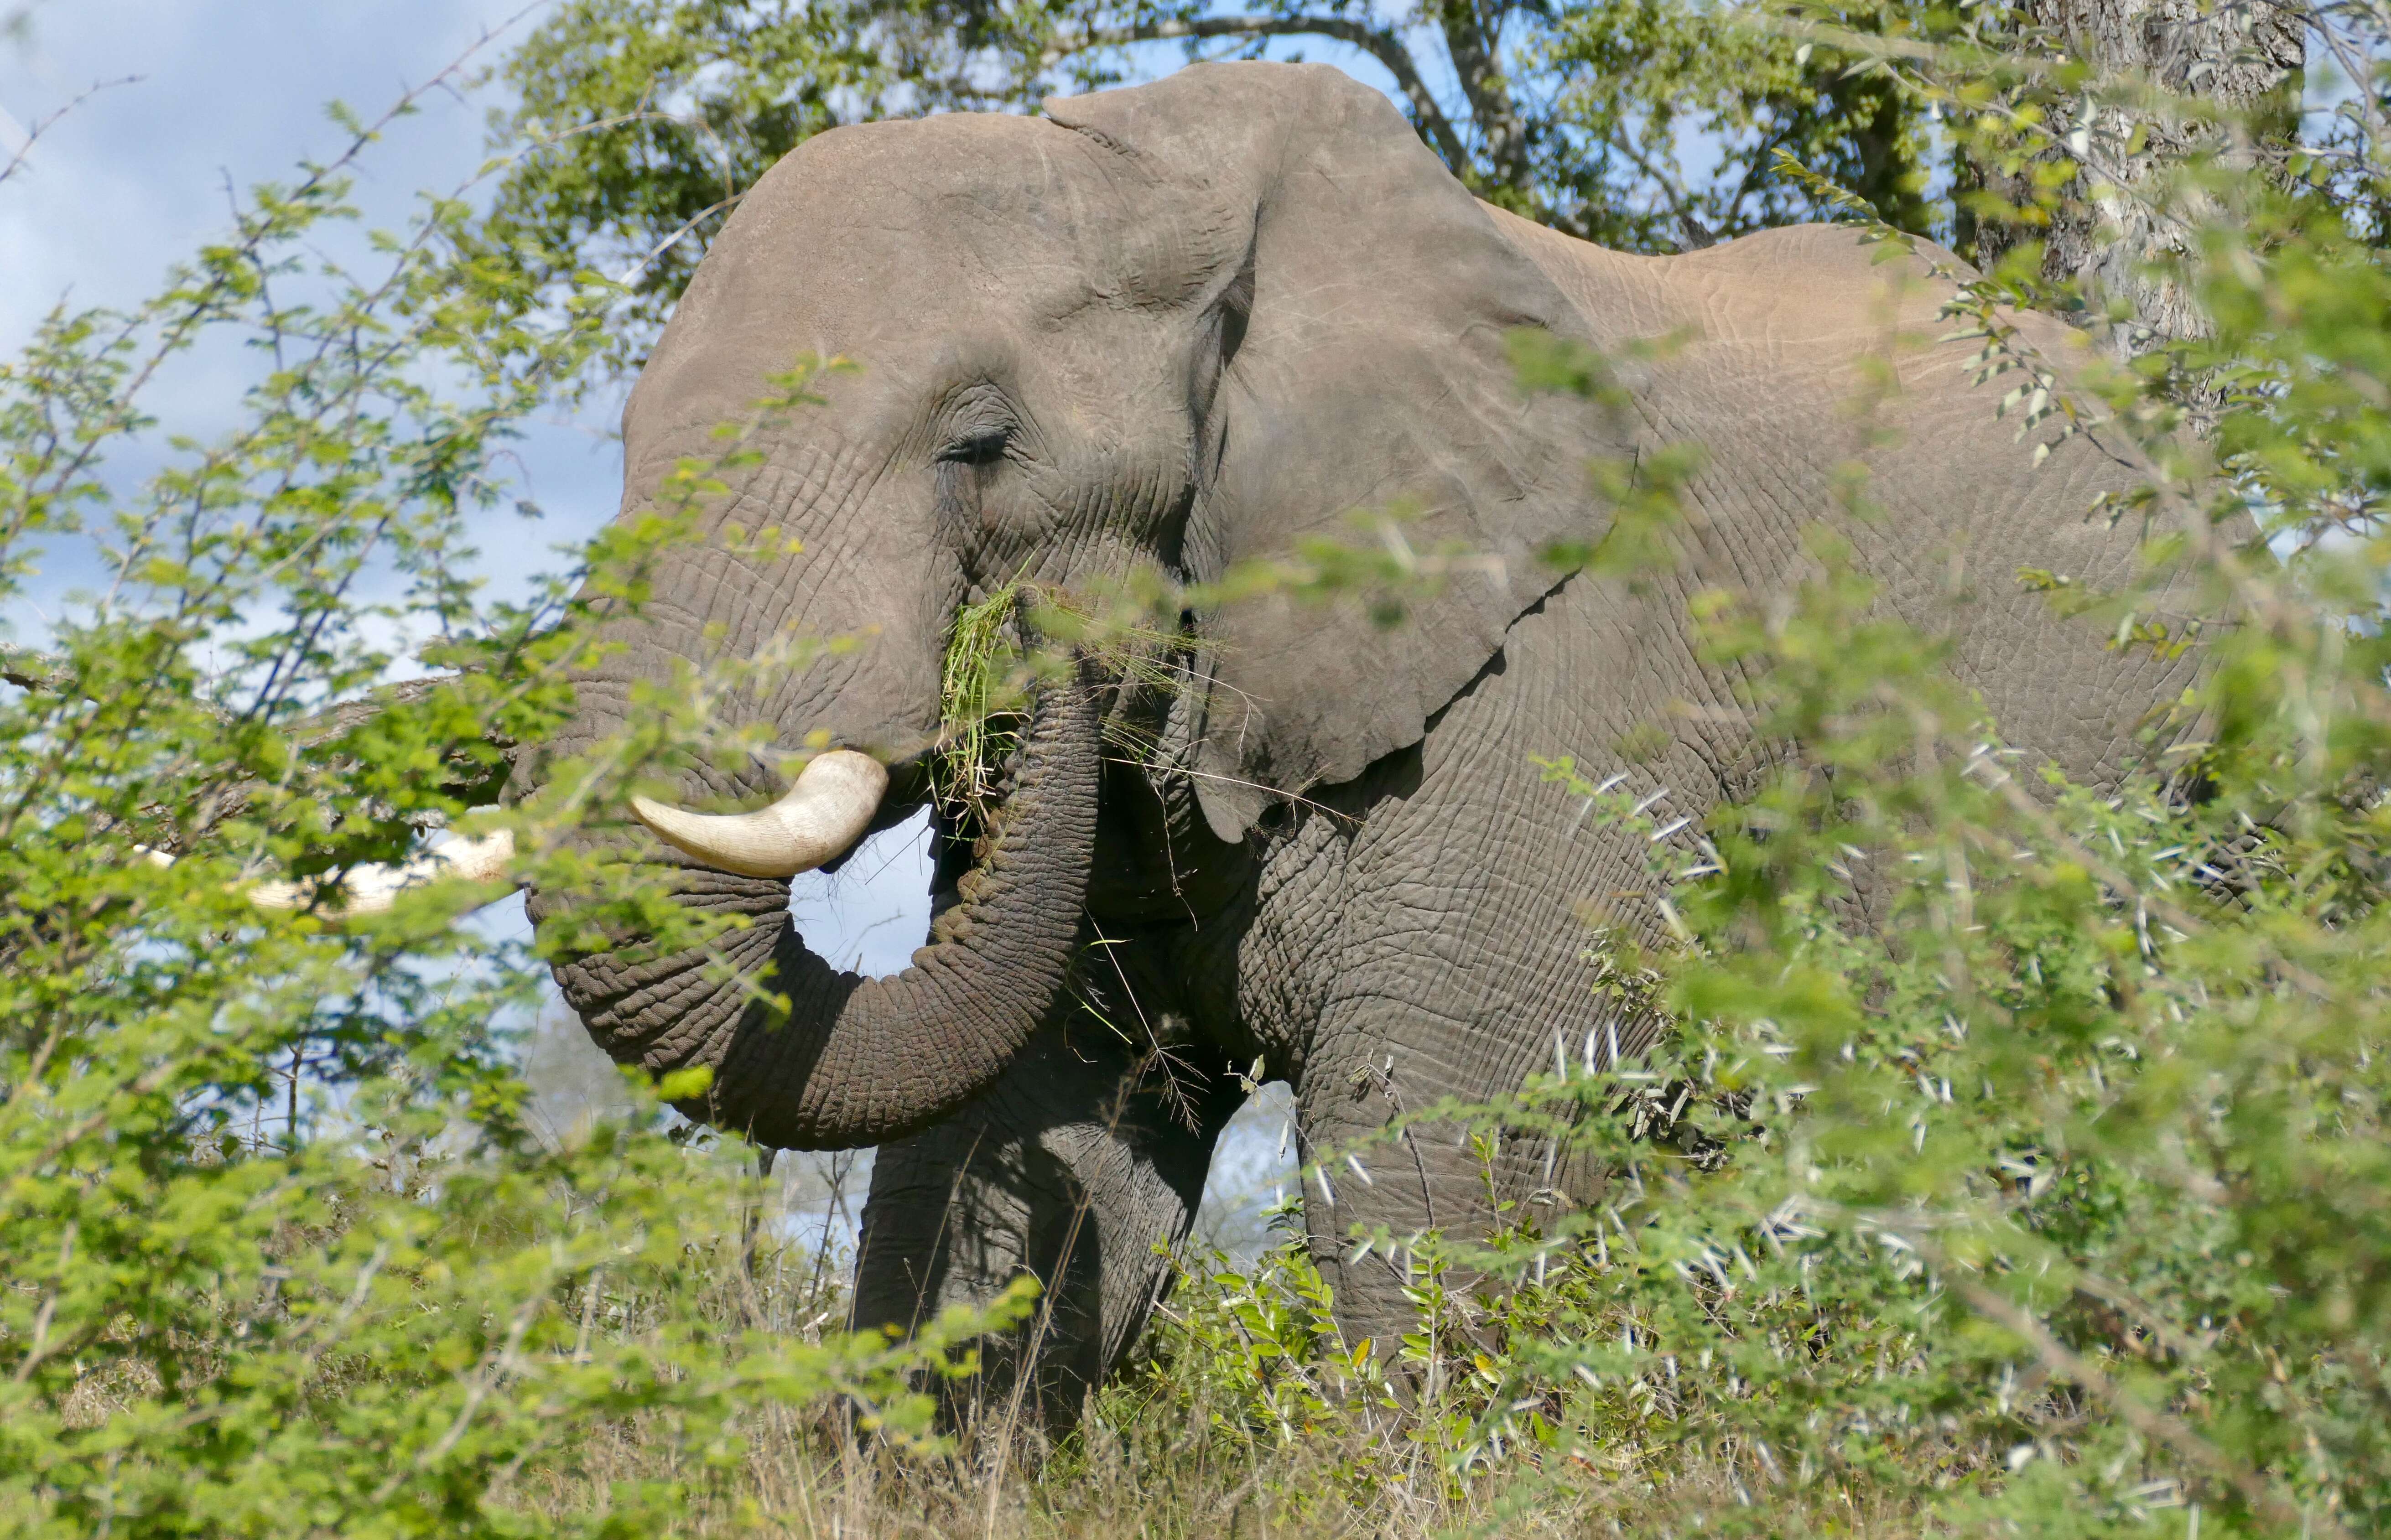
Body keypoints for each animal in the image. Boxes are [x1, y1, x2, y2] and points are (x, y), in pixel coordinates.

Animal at [523, 63, 2199, 1416]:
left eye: (979, 440)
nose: (1023, 656)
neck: (1162, 185)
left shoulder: (1552, 687)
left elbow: (1434, 1158)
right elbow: (1006, 1159)